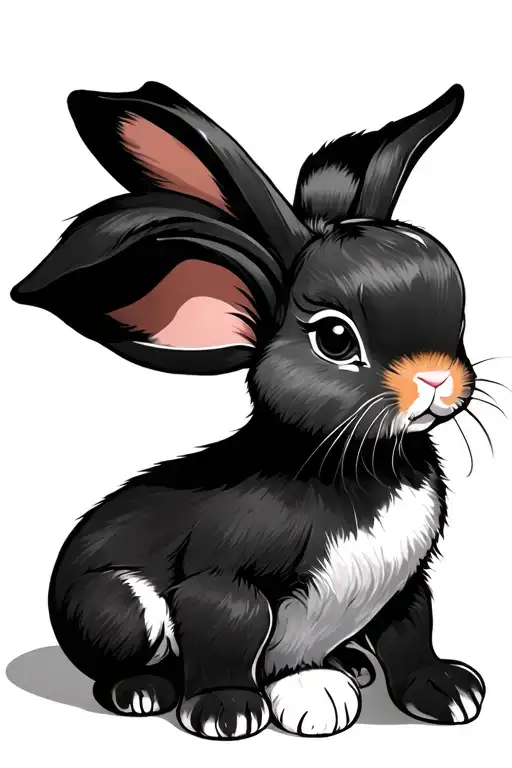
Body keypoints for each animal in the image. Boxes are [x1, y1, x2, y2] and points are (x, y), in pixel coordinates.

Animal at [11, 81, 486, 740]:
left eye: (459, 316)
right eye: (335, 339)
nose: (437, 379)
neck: (353, 463)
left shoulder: (405, 582)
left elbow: (412, 631)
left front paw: (447, 692)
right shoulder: (222, 577)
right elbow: (229, 628)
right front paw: (233, 711)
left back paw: (348, 664)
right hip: (117, 607)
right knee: (125, 661)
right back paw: (145, 692)